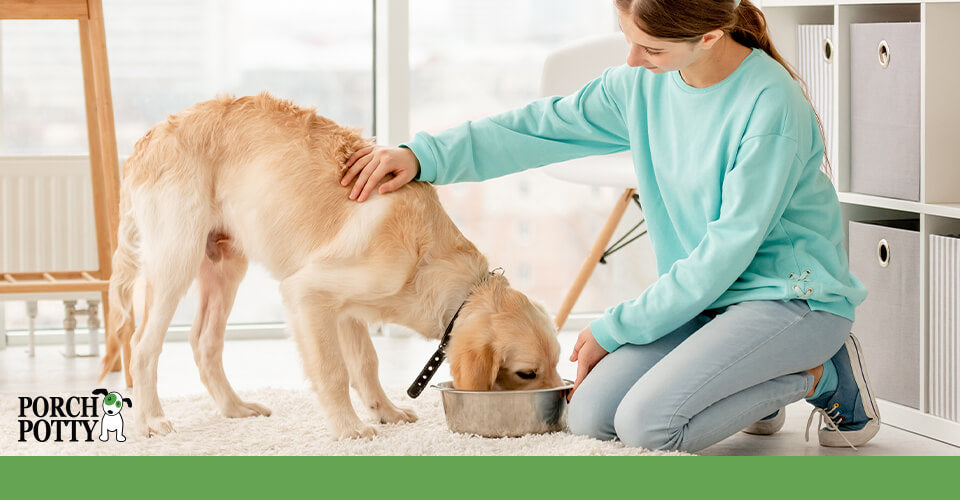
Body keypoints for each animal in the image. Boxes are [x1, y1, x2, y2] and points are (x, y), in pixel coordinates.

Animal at [99, 93, 564, 438]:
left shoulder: (347, 310)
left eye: (558, 362)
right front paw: (349, 429)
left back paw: (235, 408)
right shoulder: (308, 293)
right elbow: (333, 369)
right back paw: (151, 420)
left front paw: (385, 411)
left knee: (204, 342)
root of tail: (152, 135)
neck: (427, 259)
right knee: (142, 346)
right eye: (526, 373)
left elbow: (367, 363)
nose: (559, 408)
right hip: (175, 259)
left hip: (226, 264)